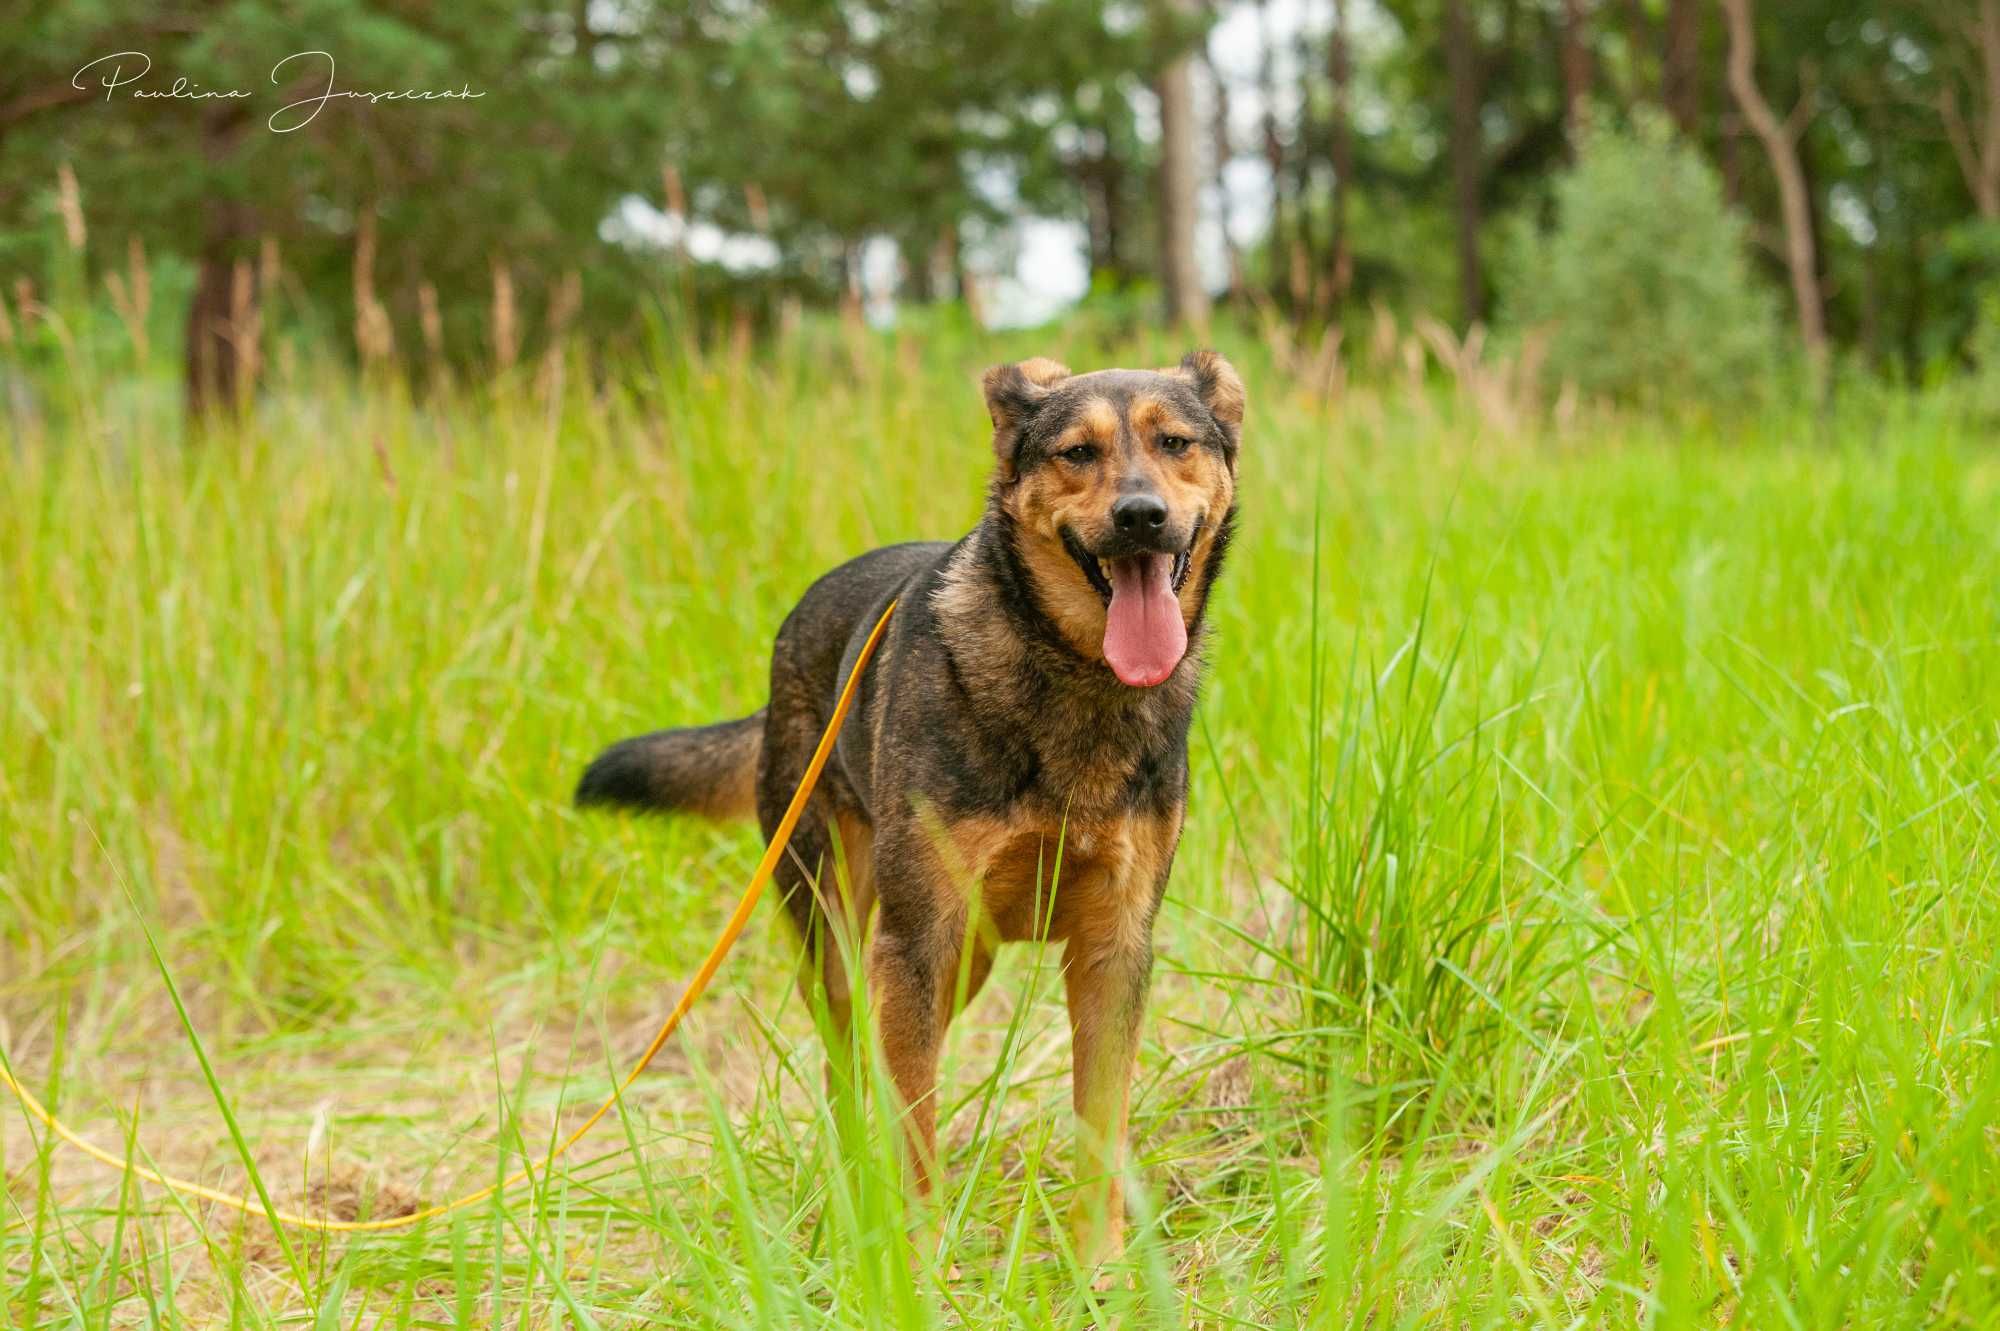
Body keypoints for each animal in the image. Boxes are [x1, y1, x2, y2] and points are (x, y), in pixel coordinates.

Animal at [572, 347, 1240, 1263]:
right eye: (1077, 453)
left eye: (1175, 442)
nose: (1141, 517)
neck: (1074, 677)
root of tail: (791, 629)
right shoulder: (917, 938)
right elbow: (915, 1126)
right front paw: (918, 1260)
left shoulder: (1113, 946)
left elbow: (1101, 1122)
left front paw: (1101, 1262)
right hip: (844, 934)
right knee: (851, 1069)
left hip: (959, 958)